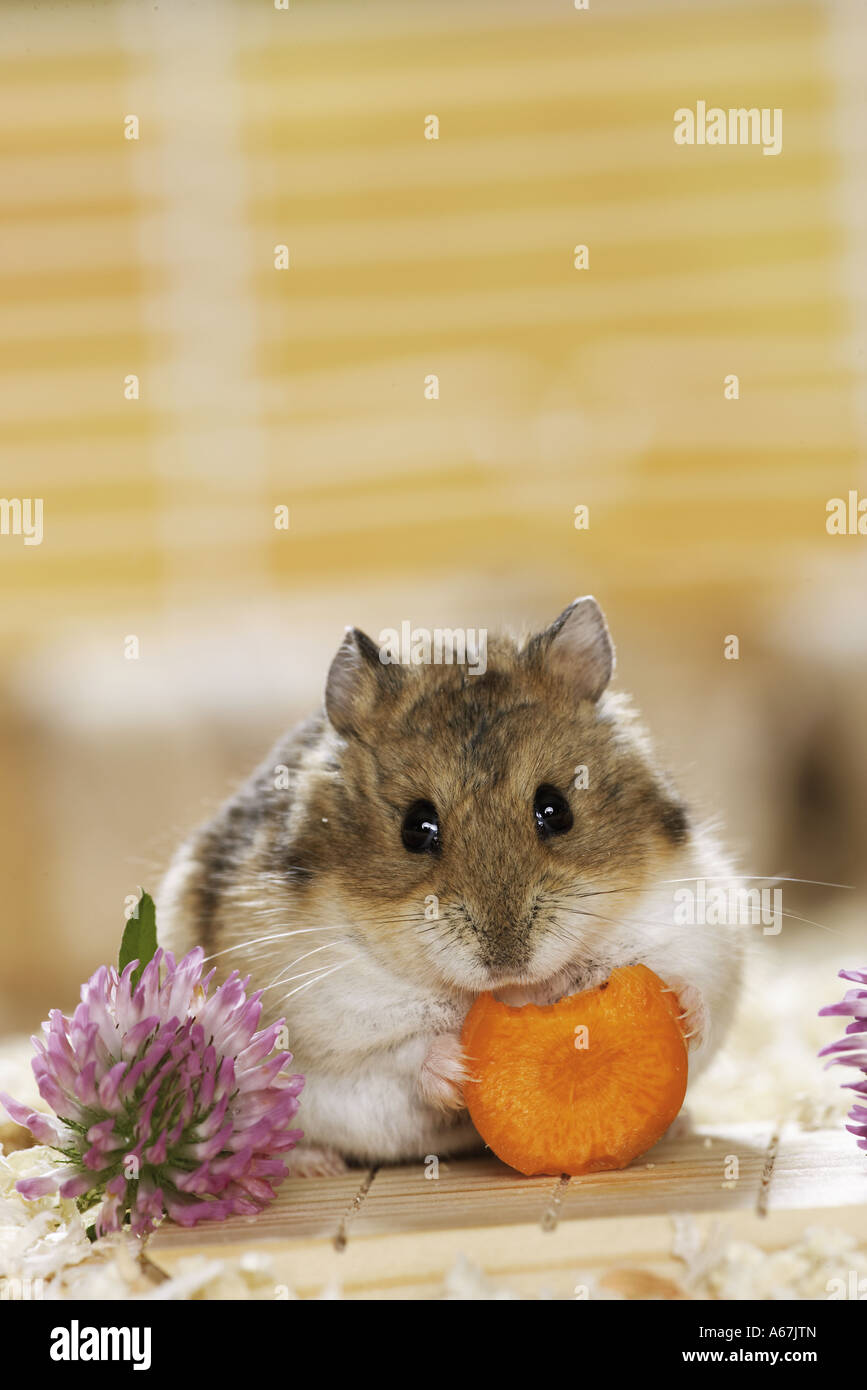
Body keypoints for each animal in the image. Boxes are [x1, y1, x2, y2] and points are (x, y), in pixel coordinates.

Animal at [158, 597, 744, 1172]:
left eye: (556, 809)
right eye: (416, 828)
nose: (512, 970)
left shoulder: (699, 925)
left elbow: (698, 985)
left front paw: (680, 1008)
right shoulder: (329, 1026)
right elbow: (399, 1059)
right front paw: (459, 1065)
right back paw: (313, 1164)